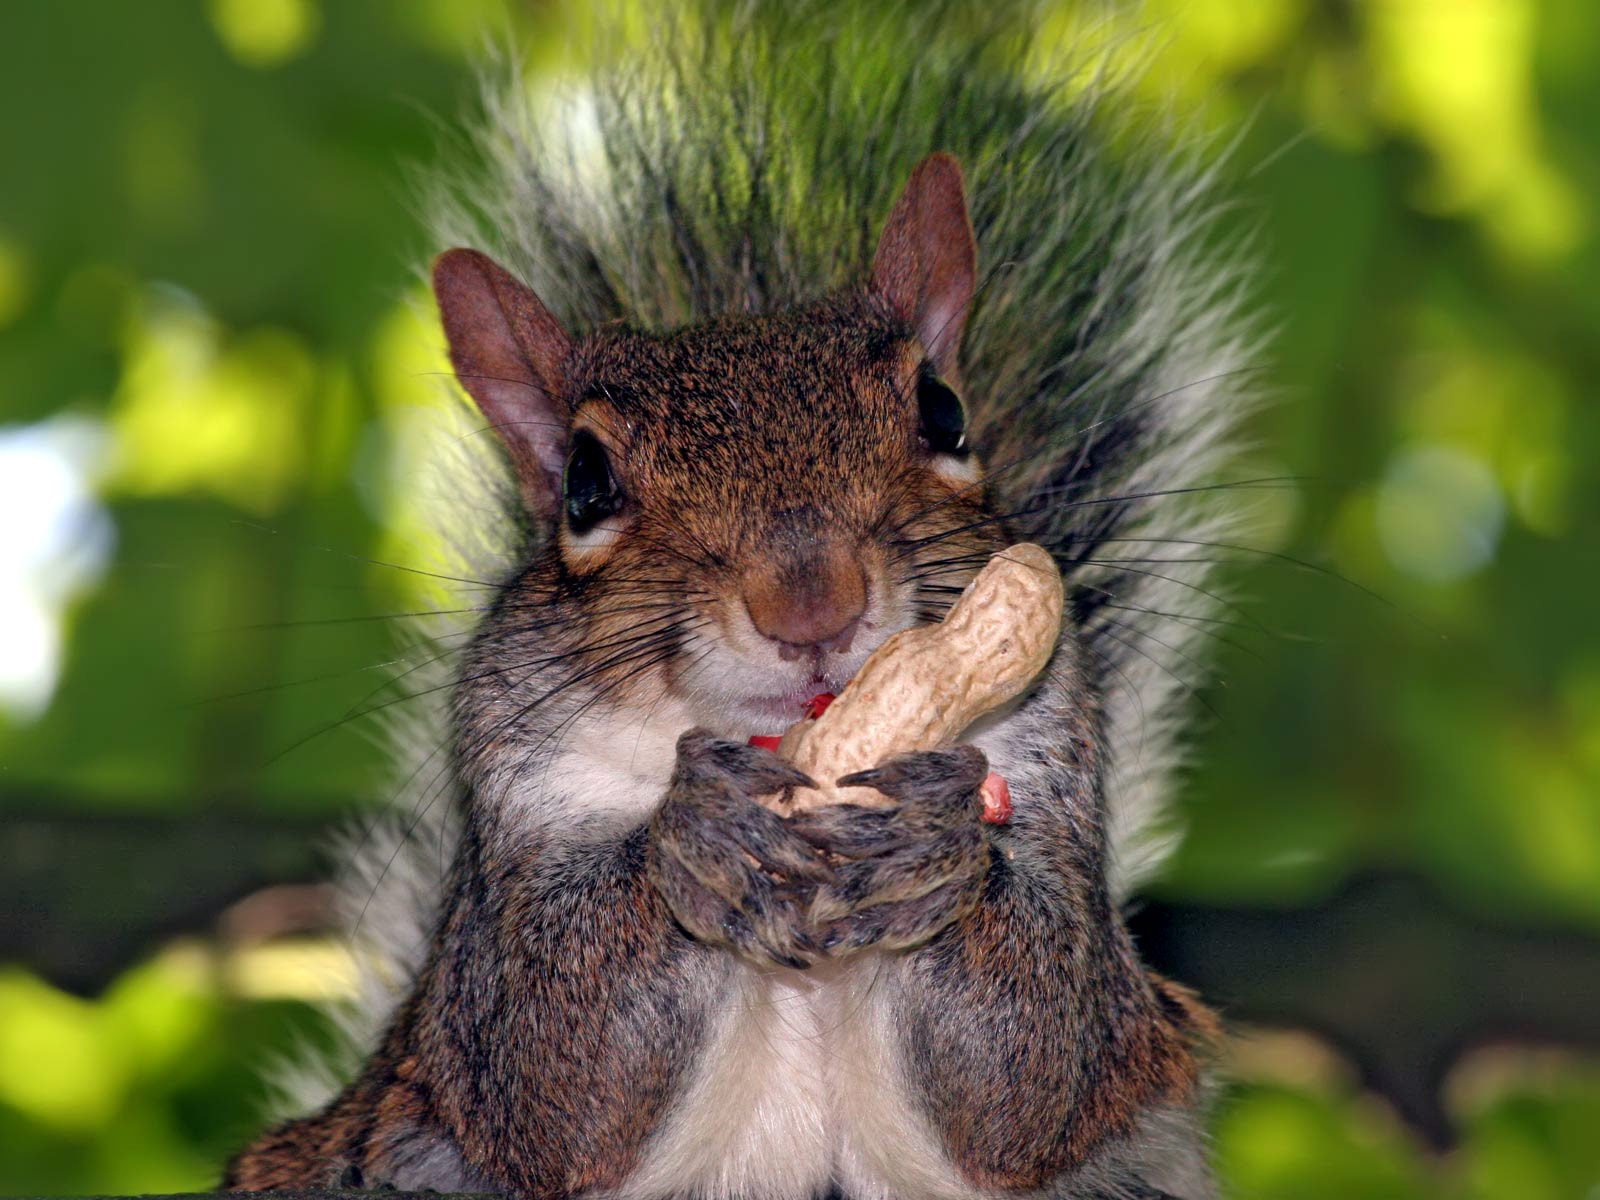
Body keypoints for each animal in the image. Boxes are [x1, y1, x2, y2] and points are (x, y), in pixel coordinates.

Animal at [222, 2, 1248, 1200]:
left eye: (944, 413)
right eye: (584, 484)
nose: (812, 605)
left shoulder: (1050, 775)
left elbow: (1038, 1066)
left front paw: (935, 840)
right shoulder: (507, 868)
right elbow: (549, 1060)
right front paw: (697, 834)